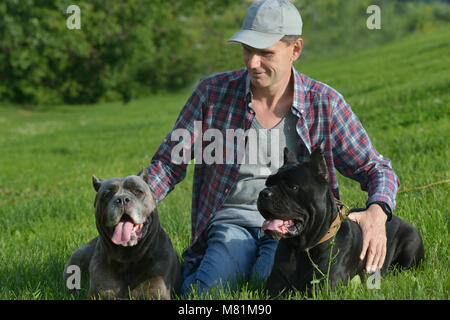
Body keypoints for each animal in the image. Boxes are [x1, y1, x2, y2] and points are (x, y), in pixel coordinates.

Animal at [258, 148, 424, 298]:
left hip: (411, 243)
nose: (264, 193)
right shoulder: (275, 286)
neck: (302, 248)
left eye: (293, 187)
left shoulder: (324, 287)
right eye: (267, 183)